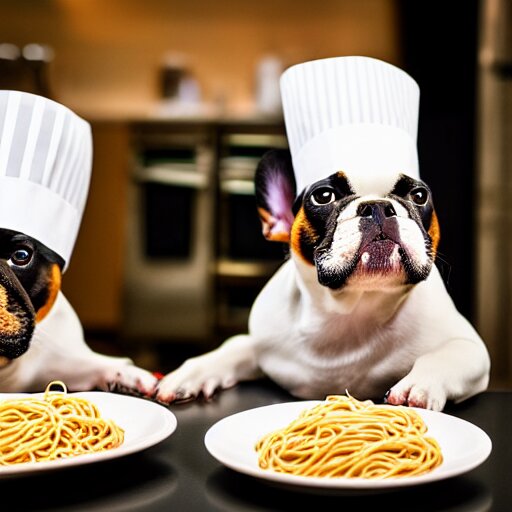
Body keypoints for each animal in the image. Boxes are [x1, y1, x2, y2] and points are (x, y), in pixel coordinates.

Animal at [157, 149, 492, 412]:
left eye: (419, 196)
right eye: (324, 196)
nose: (378, 206)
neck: (351, 310)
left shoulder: (472, 349)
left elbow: (446, 356)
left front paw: (419, 385)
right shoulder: (260, 345)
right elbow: (232, 347)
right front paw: (189, 373)